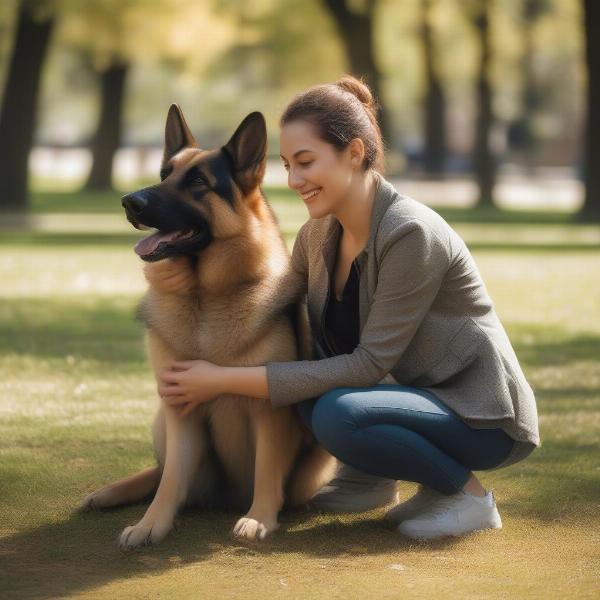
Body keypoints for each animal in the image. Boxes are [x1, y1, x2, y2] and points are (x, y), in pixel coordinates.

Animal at [81, 104, 338, 548]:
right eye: (163, 173)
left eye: (198, 182)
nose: (129, 201)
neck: (205, 298)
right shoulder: (179, 409)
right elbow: (171, 479)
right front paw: (152, 523)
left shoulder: (269, 413)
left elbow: (268, 469)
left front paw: (260, 517)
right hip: (161, 418)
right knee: (162, 471)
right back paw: (113, 491)